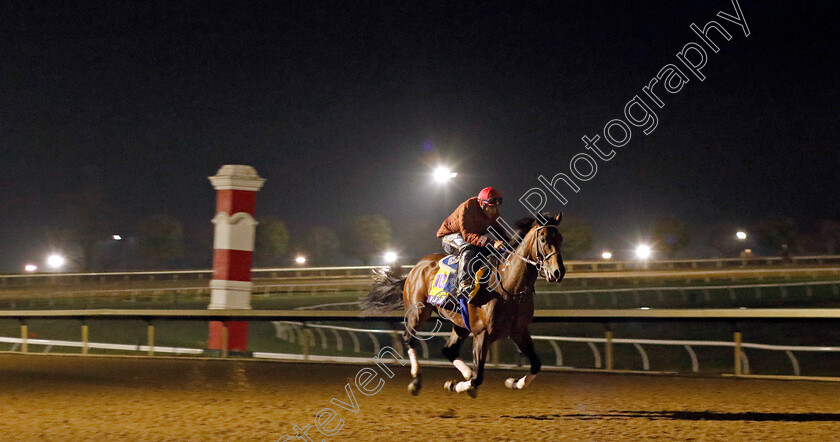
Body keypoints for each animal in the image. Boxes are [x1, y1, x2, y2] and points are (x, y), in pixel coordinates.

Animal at [360, 214, 564, 398]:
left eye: (560, 239)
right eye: (543, 239)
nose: (558, 272)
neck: (508, 286)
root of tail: (414, 269)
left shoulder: (519, 331)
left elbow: (536, 364)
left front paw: (512, 382)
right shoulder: (482, 334)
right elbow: (478, 378)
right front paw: (456, 385)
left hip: (460, 324)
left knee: (448, 350)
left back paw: (464, 372)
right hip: (418, 312)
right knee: (408, 338)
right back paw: (416, 380)